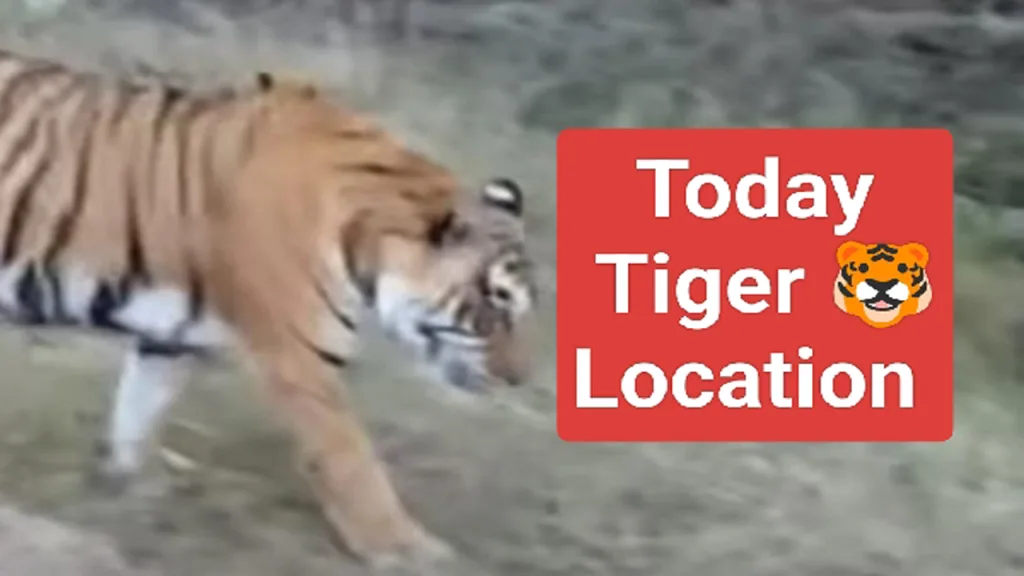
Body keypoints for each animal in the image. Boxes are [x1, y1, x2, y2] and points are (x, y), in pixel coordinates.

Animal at [0, 49, 537, 567]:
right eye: (497, 300)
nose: (518, 380)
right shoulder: (303, 357)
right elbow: (352, 460)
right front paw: (406, 549)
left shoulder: (169, 338)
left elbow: (139, 409)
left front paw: (129, 487)